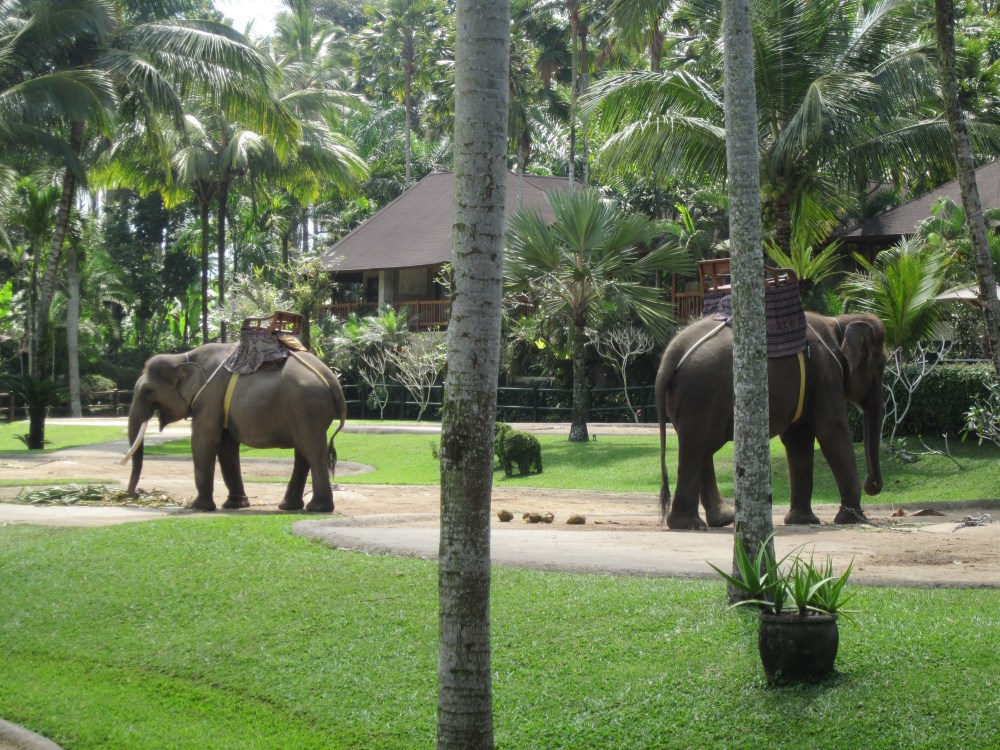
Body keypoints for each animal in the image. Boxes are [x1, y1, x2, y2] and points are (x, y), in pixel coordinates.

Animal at [124, 343, 347, 512]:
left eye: (148, 390)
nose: (135, 494)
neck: (181, 357)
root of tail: (332, 380)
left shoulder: (209, 397)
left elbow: (204, 440)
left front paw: (199, 507)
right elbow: (226, 446)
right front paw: (234, 505)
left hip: (307, 407)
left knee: (312, 450)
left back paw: (317, 508)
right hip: (304, 411)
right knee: (304, 451)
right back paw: (289, 506)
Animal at [656, 312, 887, 530]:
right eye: (883, 365)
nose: (871, 483)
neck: (838, 322)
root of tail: (670, 356)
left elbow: (798, 439)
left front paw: (802, 521)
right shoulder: (826, 374)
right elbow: (832, 431)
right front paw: (855, 520)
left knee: (700, 447)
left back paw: (720, 520)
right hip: (703, 392)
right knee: (698, 446)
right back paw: (690, 524)